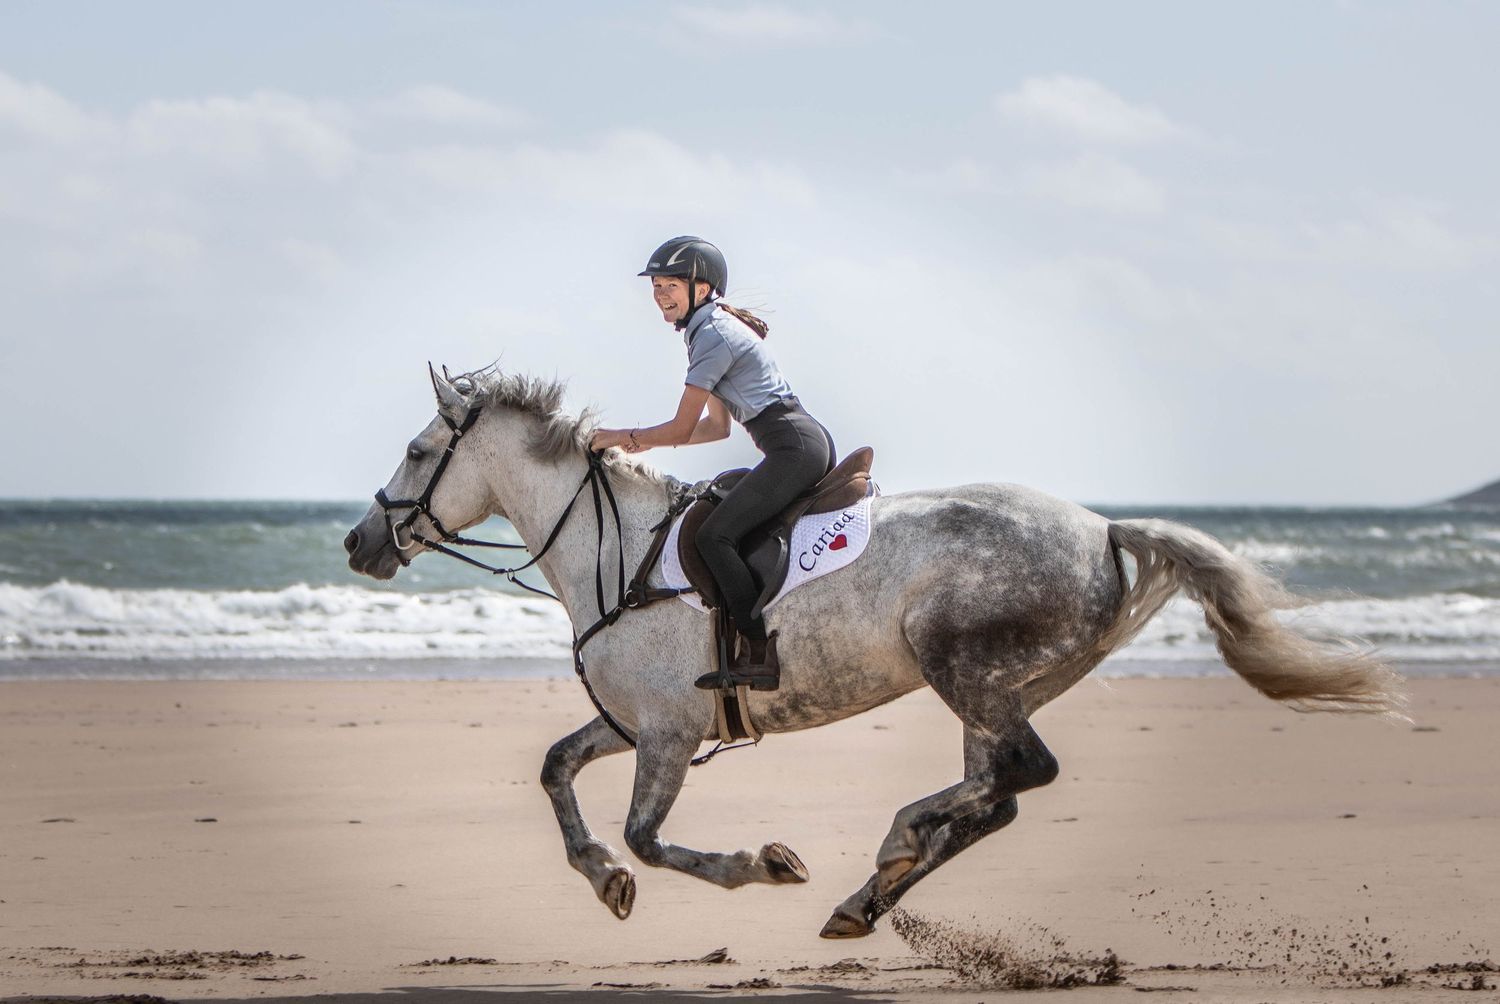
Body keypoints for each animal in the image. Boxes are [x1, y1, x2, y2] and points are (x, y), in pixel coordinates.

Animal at [343, 365, 1403, 939]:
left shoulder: (671, 735)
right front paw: (602, 878)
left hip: (960, 665)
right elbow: (557, 770)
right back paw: (870, 892)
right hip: (1004, 685)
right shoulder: (636, 723)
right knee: (1000, 792)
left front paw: (760, 864)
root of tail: (1102, 529)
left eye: (415, 451)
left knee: (1018, 776)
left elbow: (652, 836)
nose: (358, 543)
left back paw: (891, 845)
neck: (613, 551)